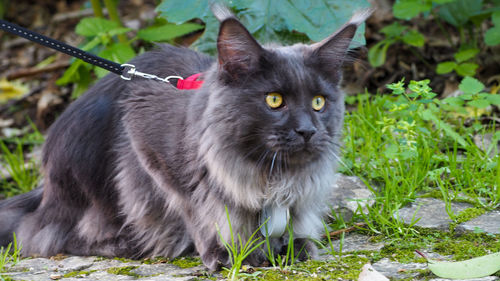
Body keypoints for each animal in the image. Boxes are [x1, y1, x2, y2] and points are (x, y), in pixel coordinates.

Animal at [0, 7, 368, 270]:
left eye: (319, 102)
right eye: (274, 100)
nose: (307, 130)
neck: (269, 174)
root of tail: (45, 191)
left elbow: (293, 220)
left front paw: (294, 245)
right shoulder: (148, 144)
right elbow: (196, 206)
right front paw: (224, 252)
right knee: (45, 234)